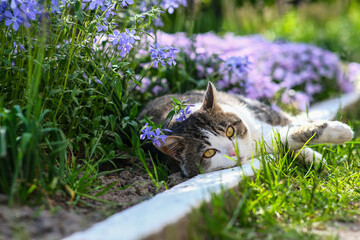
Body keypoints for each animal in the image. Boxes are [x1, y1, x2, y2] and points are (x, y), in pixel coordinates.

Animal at [139, 81, 352, 177]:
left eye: (230, 131)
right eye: (208, 153)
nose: (233, 151)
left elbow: (290, 131)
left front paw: (339, 131)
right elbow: (284, 138)